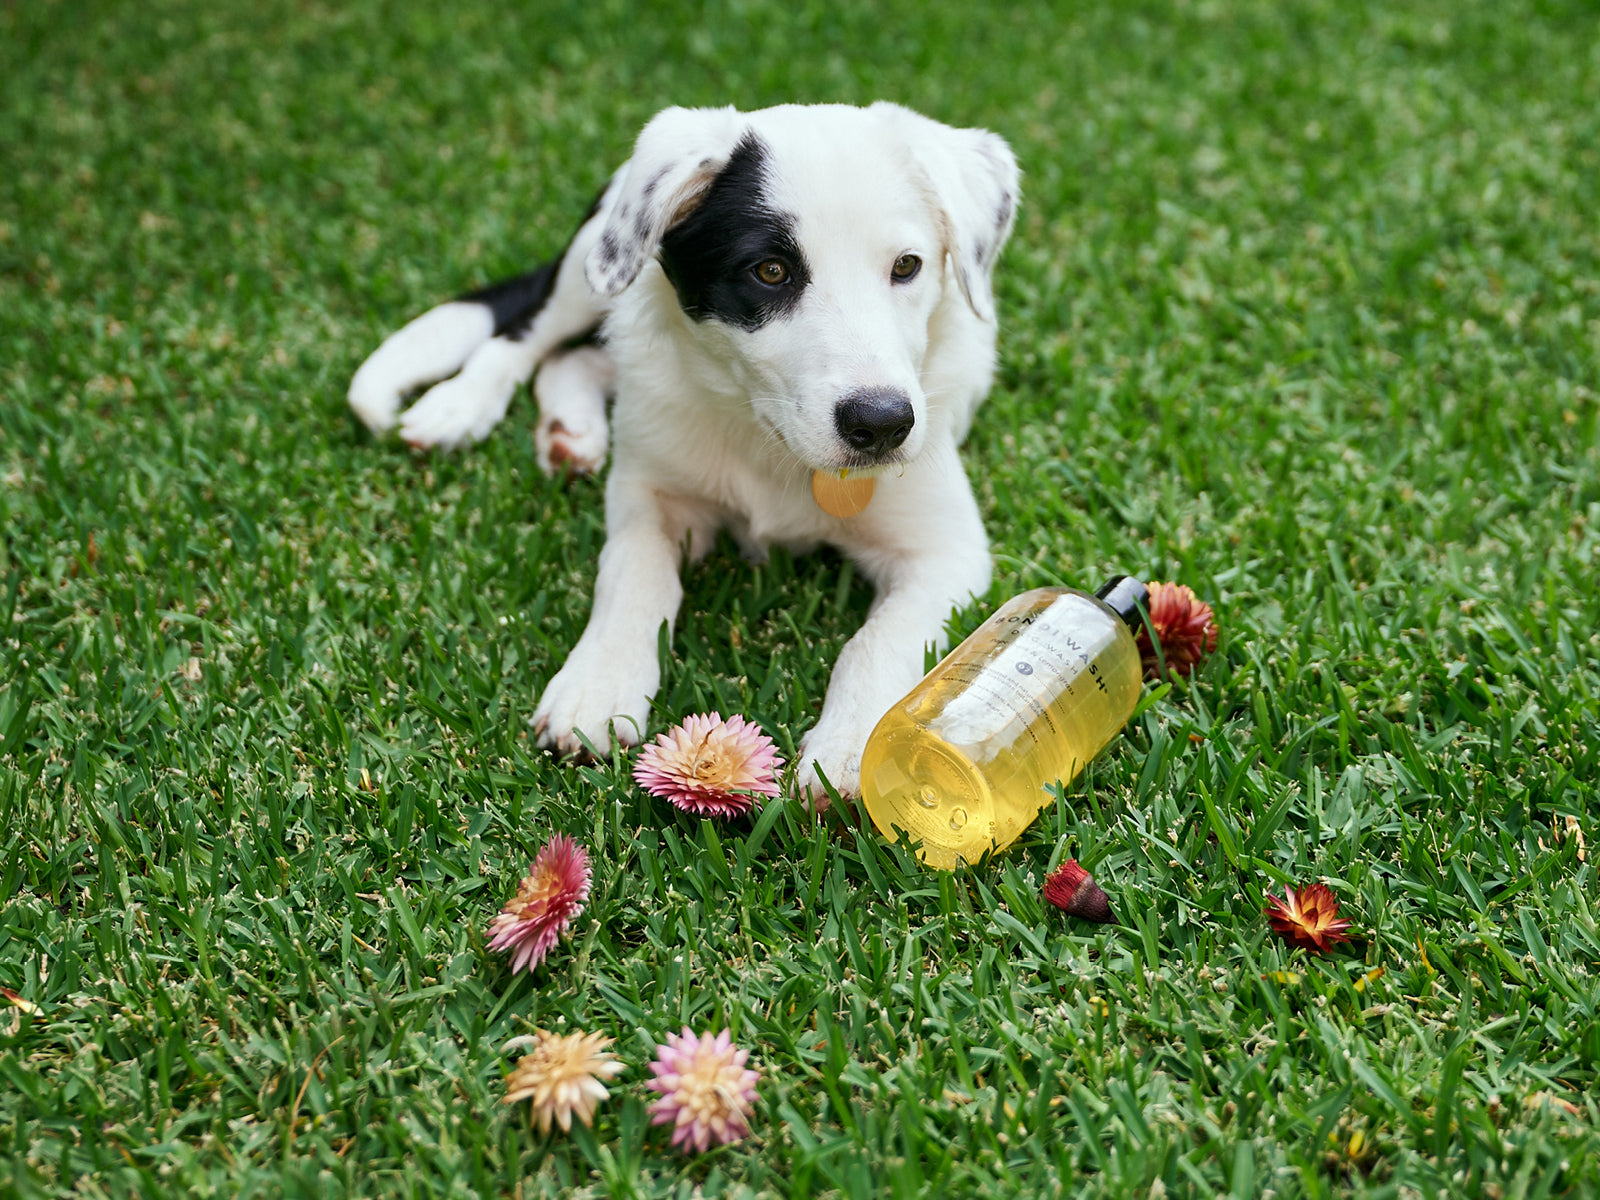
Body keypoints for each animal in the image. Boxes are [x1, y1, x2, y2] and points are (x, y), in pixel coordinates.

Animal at [353, 101, 1024, 800]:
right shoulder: (649, 495)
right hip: (595, 264)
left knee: (578, 359)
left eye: (907, 266)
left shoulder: (944, 552)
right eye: (770, 271)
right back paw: (461, 406)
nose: (883, 424)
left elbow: (879, 640)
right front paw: (599, 681)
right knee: (527, 338)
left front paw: (852, 747)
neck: (767, 436)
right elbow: (632, 573)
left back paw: (570, 432)